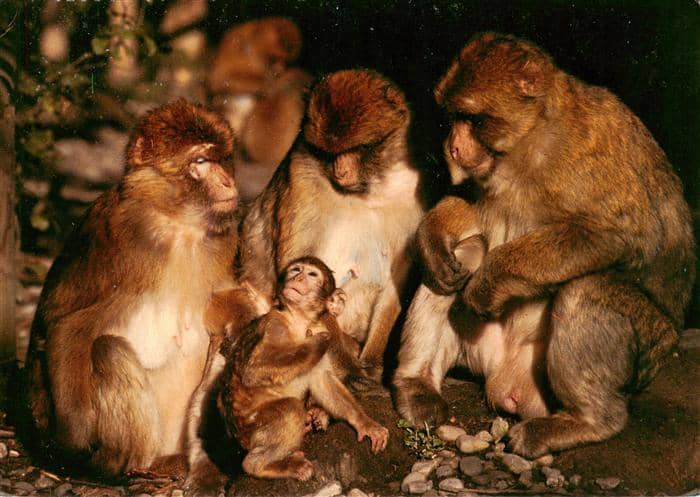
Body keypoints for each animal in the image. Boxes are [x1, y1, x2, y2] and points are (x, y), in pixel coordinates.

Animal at [23, 99, 258, 477]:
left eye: (223, 158)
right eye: (201, 162)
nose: (227, 181)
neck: (178, 224)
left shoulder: (225, 239)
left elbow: (225, 301)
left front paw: (244, 323)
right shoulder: (116, 244)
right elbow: (66, 325)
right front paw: (72, 441)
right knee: (107, 350)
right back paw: (132, 468)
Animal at [217, 257, 389, 480]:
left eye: (312, 274)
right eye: (296, 270)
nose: (297, 277)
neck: (299, 320)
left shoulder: (322, 326)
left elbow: (324, 381)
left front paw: (364, 423)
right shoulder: (275, 324)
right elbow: (252, 371)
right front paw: (315, 343)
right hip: (251, 427)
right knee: (289, 410)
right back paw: (260, 465)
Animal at [238, 69, 426, 385]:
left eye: (359, 148)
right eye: (326, 153)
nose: (341, 171)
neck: (366, 191)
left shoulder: (414, 190)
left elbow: (398, 277)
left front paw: (372, 362)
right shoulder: (302, 173)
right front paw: (351, 368)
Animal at [394, 32, 695, 458]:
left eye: (473, 119)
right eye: (451, 117)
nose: (451, 147)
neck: (531, 140)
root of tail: (507, 383)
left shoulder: (586, 153)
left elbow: (617, 236)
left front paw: (487, 283)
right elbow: (473, 210)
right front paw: (432, 239)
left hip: (647, 354)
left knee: (586, 289)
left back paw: (589, 421)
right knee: (458, 264)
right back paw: (416, 384)